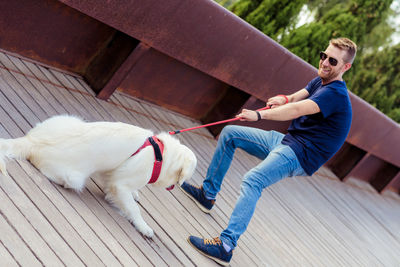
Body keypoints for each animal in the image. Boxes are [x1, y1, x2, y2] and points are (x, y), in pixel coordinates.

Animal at [0, 115, 197, 239]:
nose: (175, 186)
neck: (161, 154)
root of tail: (32, 141)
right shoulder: (121, 184)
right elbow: (134, 209)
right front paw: (143, 227)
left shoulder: (113, 173)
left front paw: (135, 195)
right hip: (74, 178)